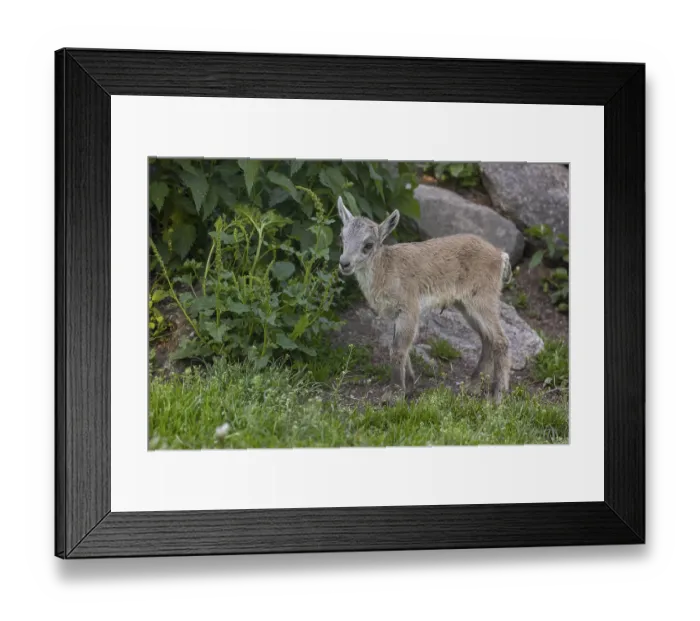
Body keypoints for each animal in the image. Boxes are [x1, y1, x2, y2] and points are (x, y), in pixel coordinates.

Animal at [337, 196, 512, 404]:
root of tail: (500, 255)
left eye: (368, 244)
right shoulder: (394, 314)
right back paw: (473, 387)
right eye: (342, 237)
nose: (344, 263)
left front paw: (394, 394)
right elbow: (401, 348)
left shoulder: (409, 308)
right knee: (487, 338)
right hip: (465, 305)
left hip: (484, 297)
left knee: (501, 340)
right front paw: (409, 387)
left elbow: (398, 350)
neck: (387, 271)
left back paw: (497, 397)